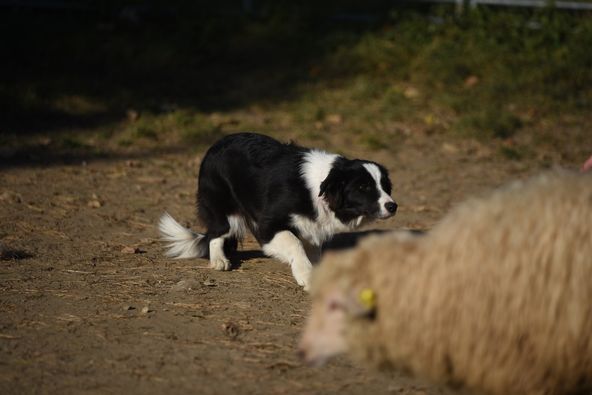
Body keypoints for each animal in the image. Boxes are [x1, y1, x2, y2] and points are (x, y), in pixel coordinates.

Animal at [160, 133, 396, 290]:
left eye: (385, 186)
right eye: (363, 187)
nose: (393, 206)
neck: (319, 187)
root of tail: (215, 144)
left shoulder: (311, 227)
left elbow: (313, 250)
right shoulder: (268, 225)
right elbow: (294, 243)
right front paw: (305, 274)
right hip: (221, 203)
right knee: (217, 232)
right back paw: (218, 259)